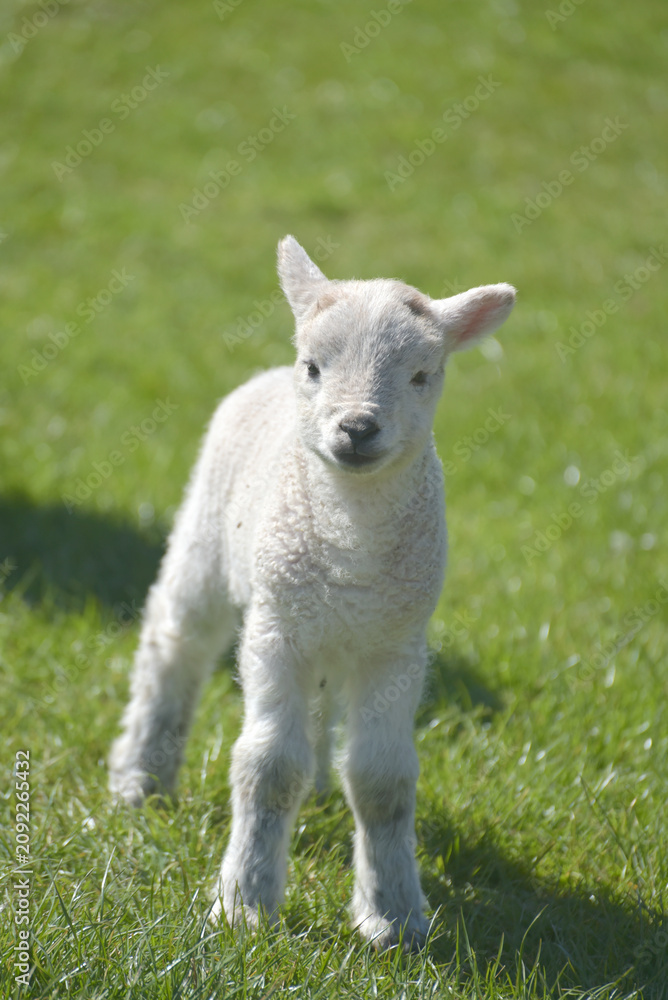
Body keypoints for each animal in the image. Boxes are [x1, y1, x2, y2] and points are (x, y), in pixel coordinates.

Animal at [109, 235, 516, 949]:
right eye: (315, 367)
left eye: (422, 375)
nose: (357, 428)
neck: (350, 539)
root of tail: (264, 377)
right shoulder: (277, 631)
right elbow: (269, 766)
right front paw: (244, 904)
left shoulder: (395, 646)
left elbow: (383, 780)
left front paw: (393, 918)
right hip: (207, 539)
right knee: (173, 644)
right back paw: (142, 775)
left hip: (331, 630)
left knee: (321, 712)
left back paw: (322, 785)